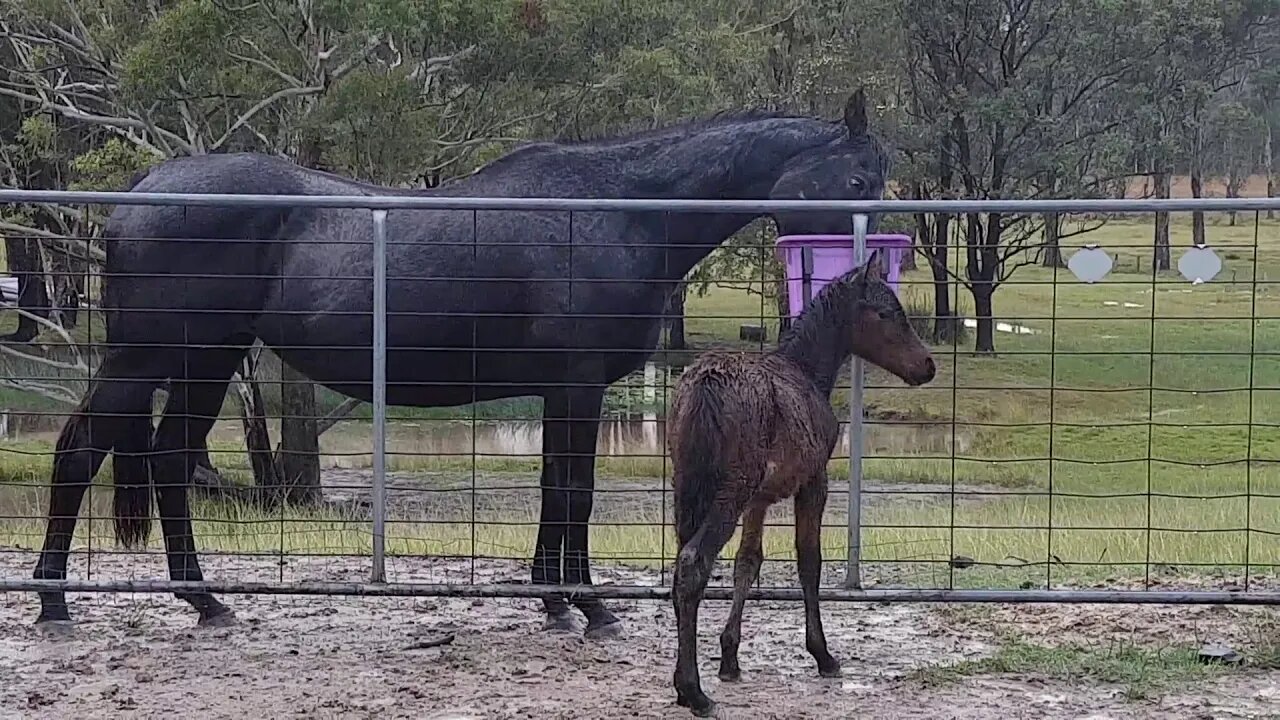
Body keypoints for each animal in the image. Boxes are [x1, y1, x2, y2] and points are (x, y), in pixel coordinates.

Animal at [27, 88, 890, 632]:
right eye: (857, 175)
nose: (871, 268)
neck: (620, 212)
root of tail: (143, 189)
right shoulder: (577, 387)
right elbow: (574, 493)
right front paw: (590, 607)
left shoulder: (559, 393)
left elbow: (555, 492)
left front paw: (553, 600)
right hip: (146, 359)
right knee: (79, 453)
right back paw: (55, 602)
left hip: (205, 358)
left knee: (172, 459)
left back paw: (204, 601)